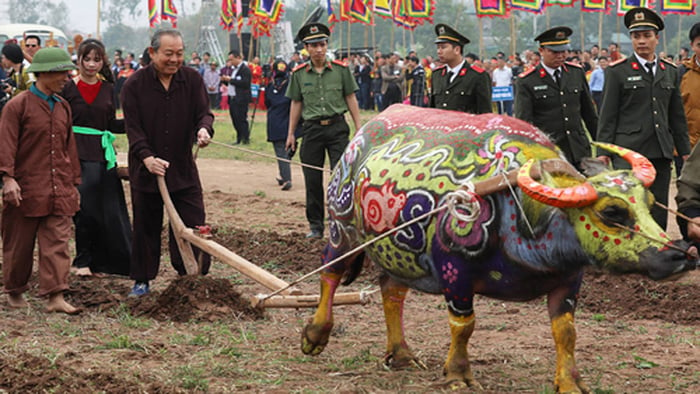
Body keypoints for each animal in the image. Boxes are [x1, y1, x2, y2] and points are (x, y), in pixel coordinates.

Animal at [304, 104, 696, 390]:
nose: (680, 254)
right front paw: (458, 375)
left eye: (649, 203)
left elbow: (566, 332)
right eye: (612, 212)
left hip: (398, 252)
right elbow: (464, 326)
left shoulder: (569, 279)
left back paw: (401, 355)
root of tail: (358, 139)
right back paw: (315, 334)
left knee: (391, 291)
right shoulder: (455, 273)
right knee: (330, 274)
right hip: (341, 229)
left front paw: (570, 382)